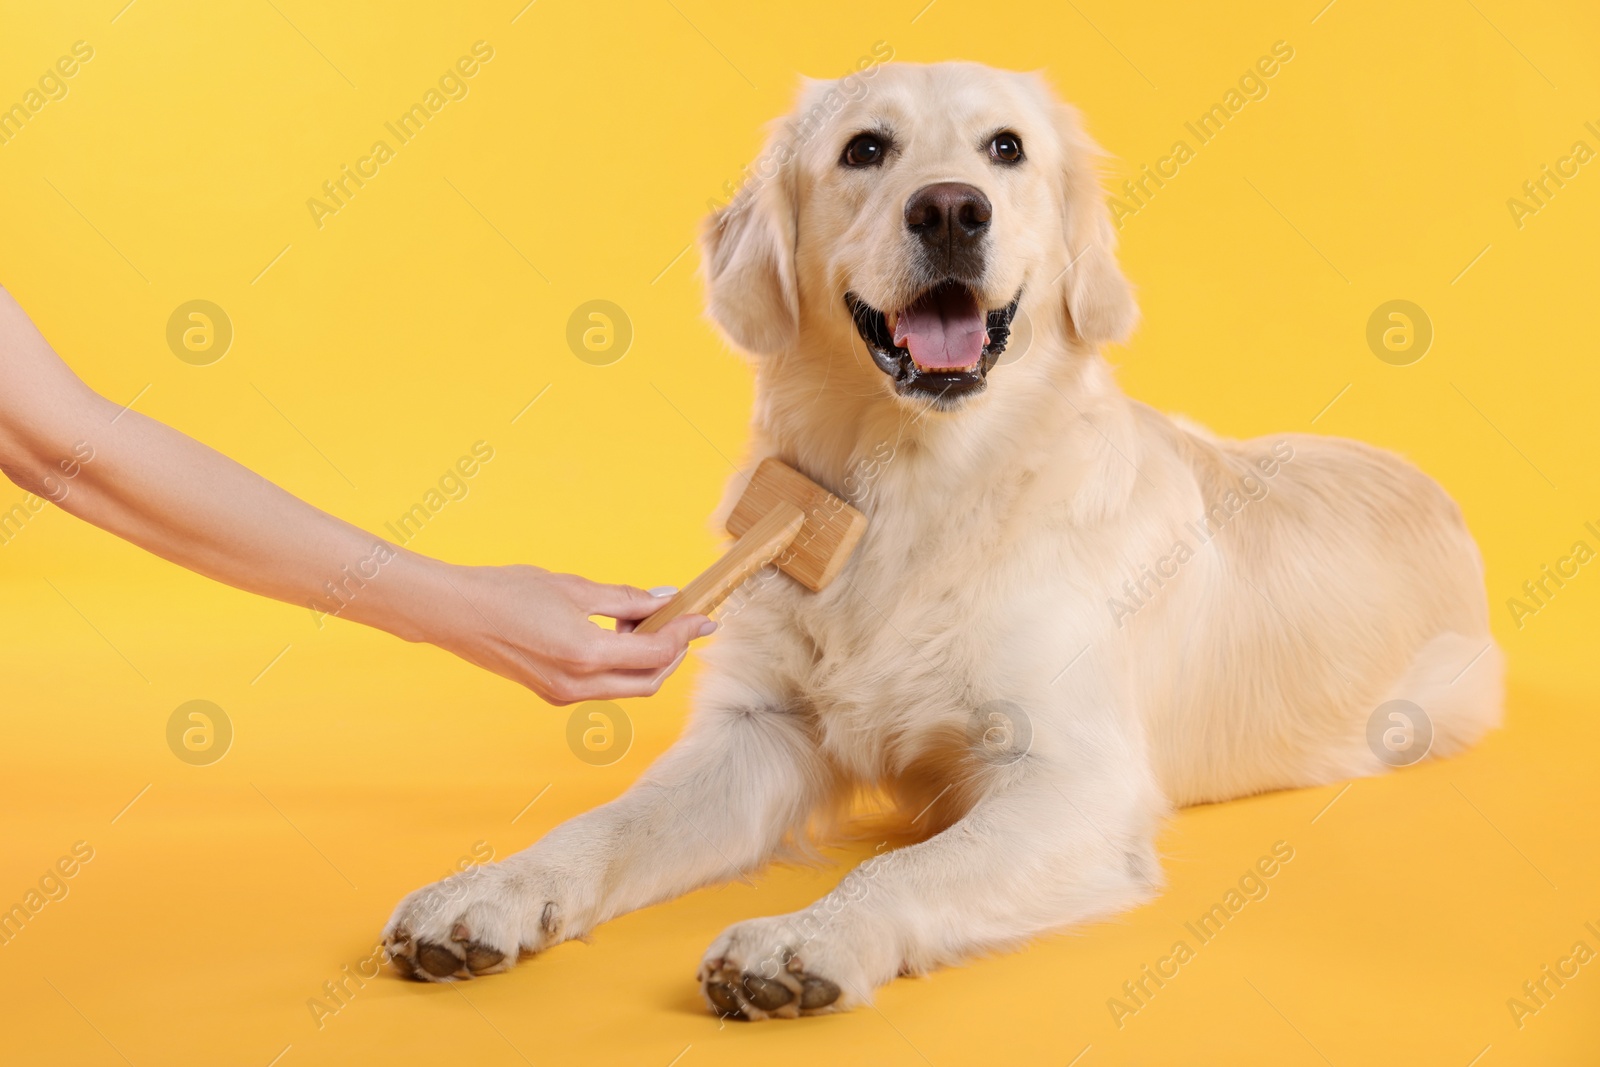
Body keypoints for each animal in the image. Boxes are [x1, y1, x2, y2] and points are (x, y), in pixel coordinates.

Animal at [380, 62, 1504, 1023]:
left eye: (1005, 148)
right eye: (865, 149)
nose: (953, 208)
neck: (913, 491)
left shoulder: (1071, 776)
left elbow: (903, 863)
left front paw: (806, 936)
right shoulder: (757, 731)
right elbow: (607, 823)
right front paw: (490, 888)